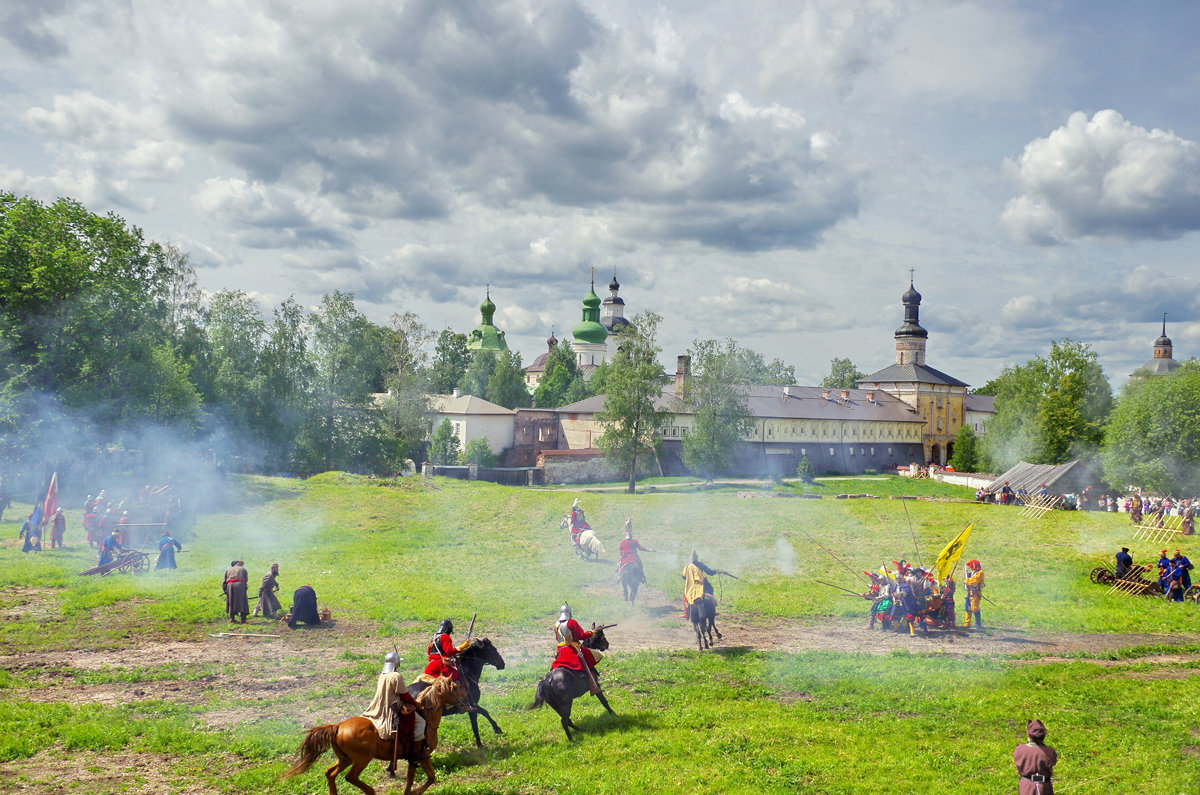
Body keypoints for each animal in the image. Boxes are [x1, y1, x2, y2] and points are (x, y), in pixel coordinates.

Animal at [283, 672, 465, 795]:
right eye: (456, 687)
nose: (466, 700)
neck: (427, 716)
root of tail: (338, 726)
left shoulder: (415, 758)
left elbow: (412, 778)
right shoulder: (422, 755)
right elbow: (430, 777)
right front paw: (415, 792)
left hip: (345, 759)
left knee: (330, 773)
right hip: (361, 759)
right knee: (350, 777)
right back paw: (370, 790)